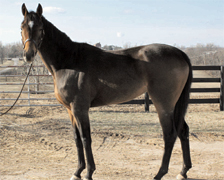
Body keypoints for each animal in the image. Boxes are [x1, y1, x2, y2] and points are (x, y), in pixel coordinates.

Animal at [20, 3, 192, 179]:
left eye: (40, 28)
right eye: (22, 26)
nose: (28, 55)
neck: (69, 60)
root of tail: (180, 53)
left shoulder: (80, 108)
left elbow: (85, 138)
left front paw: (88, 172)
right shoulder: (70, 109)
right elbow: (76, 138)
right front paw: (77, 171)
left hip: (163, 104)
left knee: (169, 134)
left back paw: (159, 174)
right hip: (174, 106)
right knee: (183, 131)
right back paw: (183, 172)